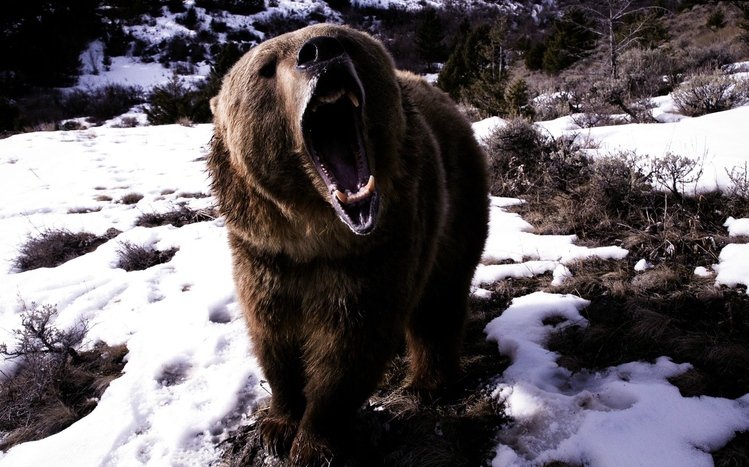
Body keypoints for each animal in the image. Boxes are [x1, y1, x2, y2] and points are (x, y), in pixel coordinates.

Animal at [207, 24, 489, 466]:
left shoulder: (376, 251)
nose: (319, 51)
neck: (314, 235)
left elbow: (350, 346)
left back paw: (427, 384)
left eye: (345, 40)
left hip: (457, 202)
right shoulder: (262, 254)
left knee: (439, 298)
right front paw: (277, 425)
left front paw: (314, 442)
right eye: (265, 68)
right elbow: (272, 334)